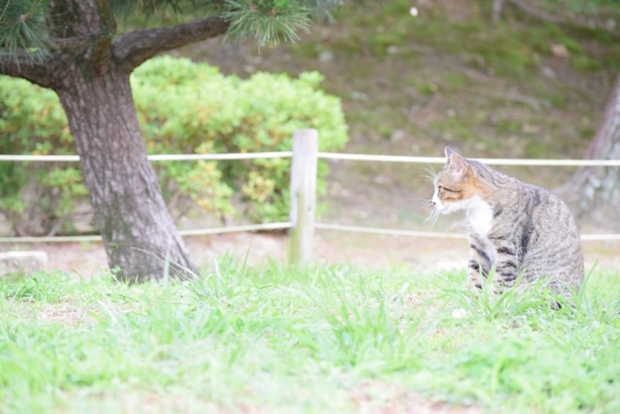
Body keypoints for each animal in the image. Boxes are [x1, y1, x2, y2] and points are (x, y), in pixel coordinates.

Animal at [428, 146, 584, 298]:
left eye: (440, 188)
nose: (433, 202)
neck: (478, 209)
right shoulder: (479, 247)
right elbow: (475, 276)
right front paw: (470, 301)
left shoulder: (508, 250)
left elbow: (500, 282)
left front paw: (494, 303)